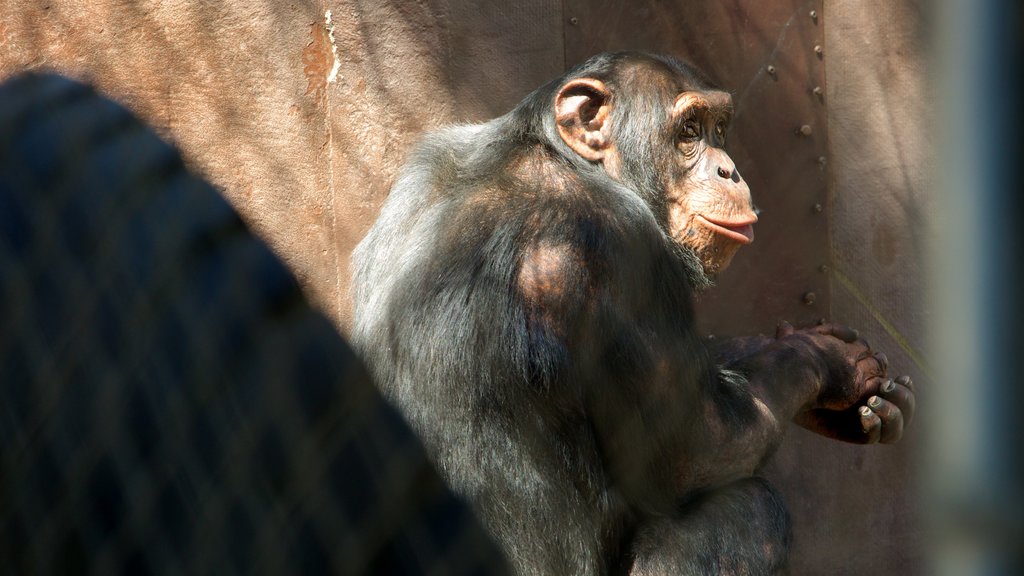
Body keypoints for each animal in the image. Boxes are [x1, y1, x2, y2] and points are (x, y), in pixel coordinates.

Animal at [348, 51, 917, 569]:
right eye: (689, 130)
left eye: (719, 128)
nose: (730, 170)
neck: (560, 158)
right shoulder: (624, 244)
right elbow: (702, 447)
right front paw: (828, 360)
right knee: (753, 508)